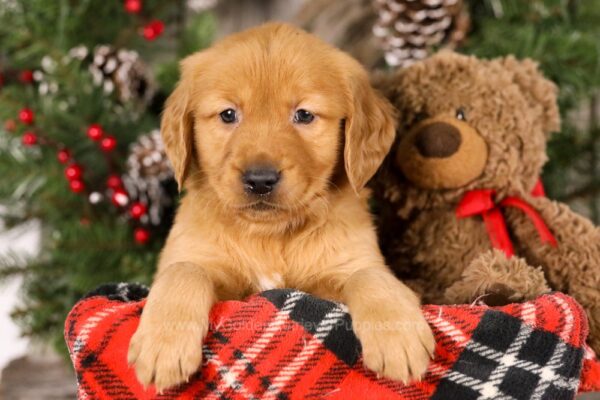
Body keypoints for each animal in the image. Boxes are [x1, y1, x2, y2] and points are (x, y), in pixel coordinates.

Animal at [129, 22, 434, 390]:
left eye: (303, 115)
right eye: (228, 114)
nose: (260, 179)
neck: (270, 235)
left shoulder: (349, 263)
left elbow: (370, 276)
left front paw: (398, 335)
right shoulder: (190, 255)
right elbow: (183, 271)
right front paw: (163, 345)